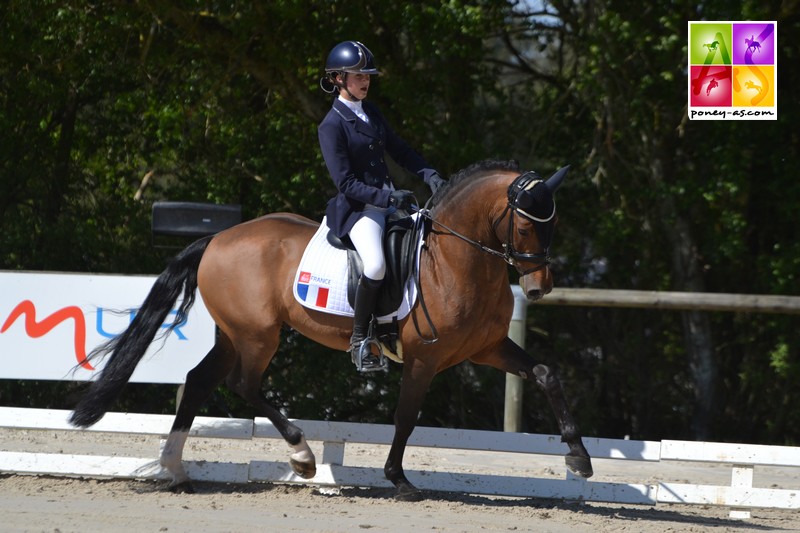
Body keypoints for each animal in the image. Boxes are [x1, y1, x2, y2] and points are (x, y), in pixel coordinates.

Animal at [69, 157, 592, 498]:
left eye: (553, 223)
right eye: (525, 226)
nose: (539, 287)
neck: (455, 261)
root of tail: (218, 237)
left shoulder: (486, 348)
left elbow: (545, 373)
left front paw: (578, 456)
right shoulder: (424, 358)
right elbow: (406, 416)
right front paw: (398, 478)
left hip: (234, 334)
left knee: (199, 381)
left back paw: (176, 470)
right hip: (258, 334)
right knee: (244, 384)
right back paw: (301, 457)